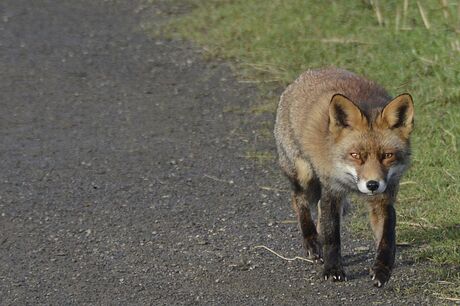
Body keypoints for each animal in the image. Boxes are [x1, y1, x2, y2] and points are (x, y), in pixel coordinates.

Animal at [274, 67, 416, 286]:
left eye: (387, 156)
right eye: (355, 155)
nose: (372, 184)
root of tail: (309, 73)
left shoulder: (384, 199)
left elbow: (387, 237)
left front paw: (382, 269)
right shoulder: (333, 191)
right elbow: (332, 236)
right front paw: (333, 269)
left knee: (317, 209)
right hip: (304, 173)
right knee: (298, 201)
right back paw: (312, 241)